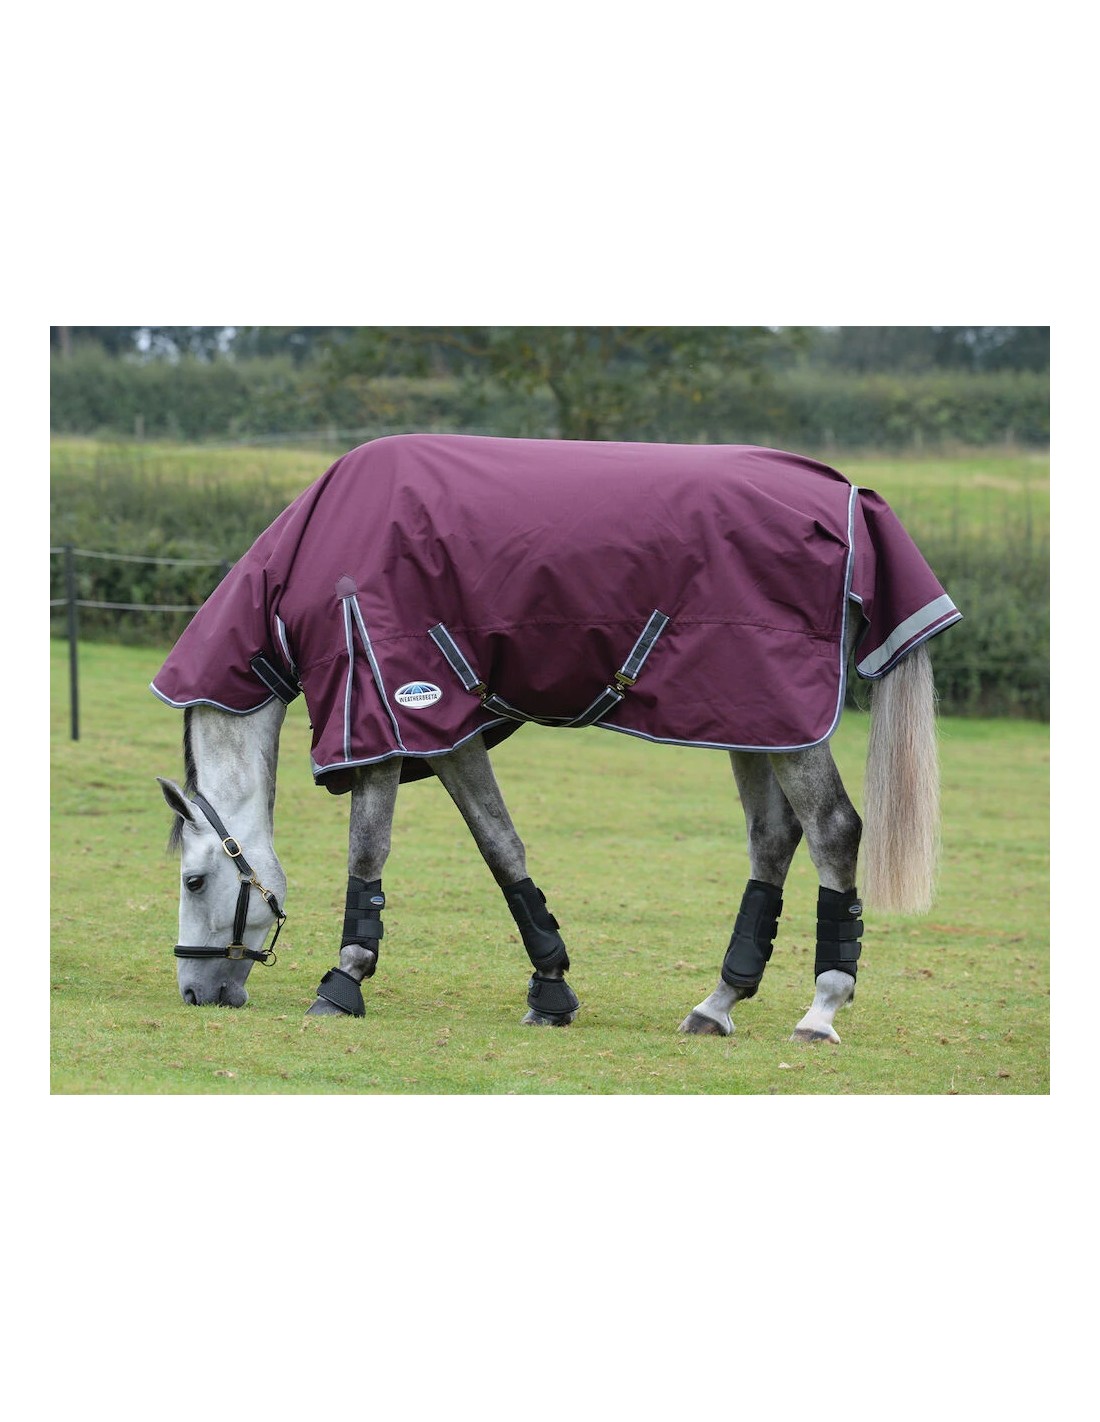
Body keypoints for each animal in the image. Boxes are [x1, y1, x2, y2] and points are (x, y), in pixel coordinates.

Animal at [154, 434, 959, 1042]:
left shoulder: (387, 715)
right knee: (772, 837)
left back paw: (822, 1009)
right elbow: (501, 846)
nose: (194, 991)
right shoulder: (446, 730)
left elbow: (369, 851)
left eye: (193, 880)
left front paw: (343, 980)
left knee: (832, 831)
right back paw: (718, 1002)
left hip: (787, 724)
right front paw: (550, 989)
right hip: (753, 718)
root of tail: (850, 499)